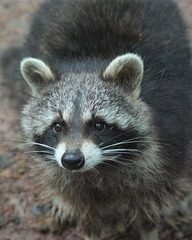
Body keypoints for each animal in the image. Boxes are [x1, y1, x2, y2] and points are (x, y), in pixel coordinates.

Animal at [18, 0, 192, 240]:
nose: (72, 160)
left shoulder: (166, 147)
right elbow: (84, 213)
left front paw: (149, 230)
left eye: (99, 125)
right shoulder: (69, 178)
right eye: (57, 126)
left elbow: (149, 208)